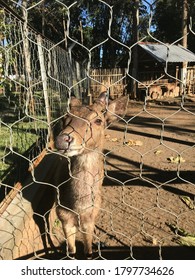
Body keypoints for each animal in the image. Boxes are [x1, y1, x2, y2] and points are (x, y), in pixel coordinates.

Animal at [54, 93, 129, 260]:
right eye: (64, 117)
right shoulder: (63, 217)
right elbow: (71, 250)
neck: (78, 208)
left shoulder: (89, 219)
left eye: (98, 120)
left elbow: (88, 251)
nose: (62, 140)